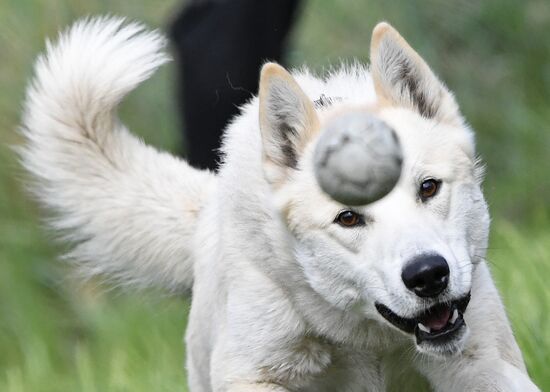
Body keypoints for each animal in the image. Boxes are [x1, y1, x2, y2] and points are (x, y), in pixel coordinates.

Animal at [20, 16, 540, 390]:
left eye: (429, 187)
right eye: (347, 218)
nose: (429, 276)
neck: (365, 335)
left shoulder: (482, 362)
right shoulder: (253, 375)